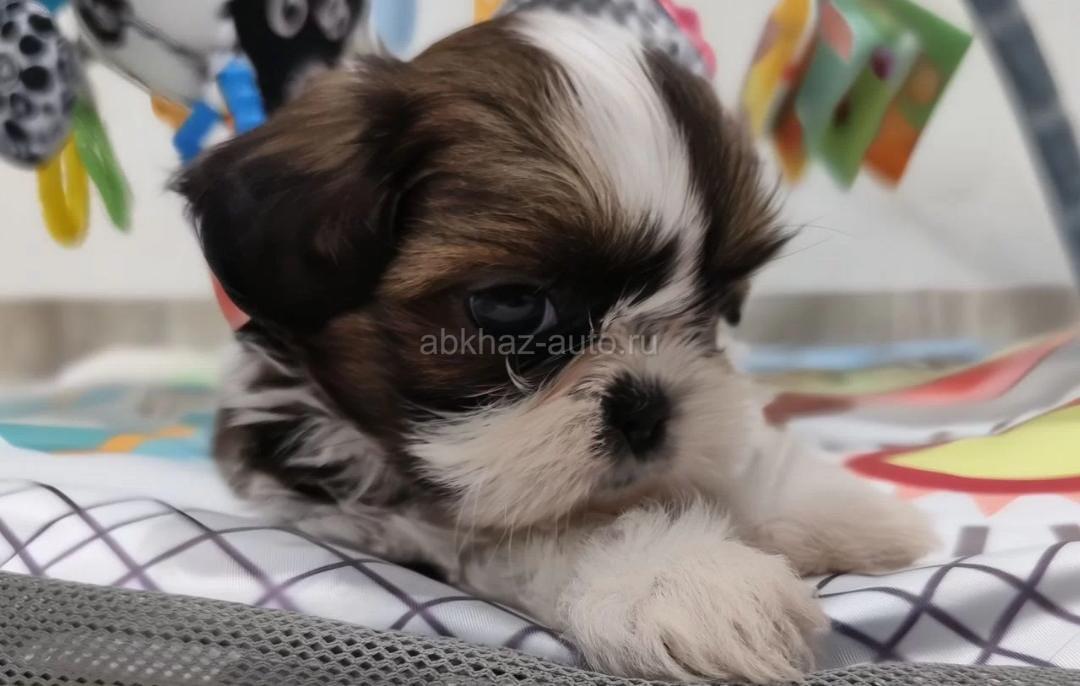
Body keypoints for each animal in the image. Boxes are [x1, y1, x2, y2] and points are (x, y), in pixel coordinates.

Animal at [175, 10, 937, 683]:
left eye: (721, 304)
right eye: (513, 304)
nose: (648, 407)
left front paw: (826, 505)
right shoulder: (356, 507)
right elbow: (531, 530)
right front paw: (682, 577)